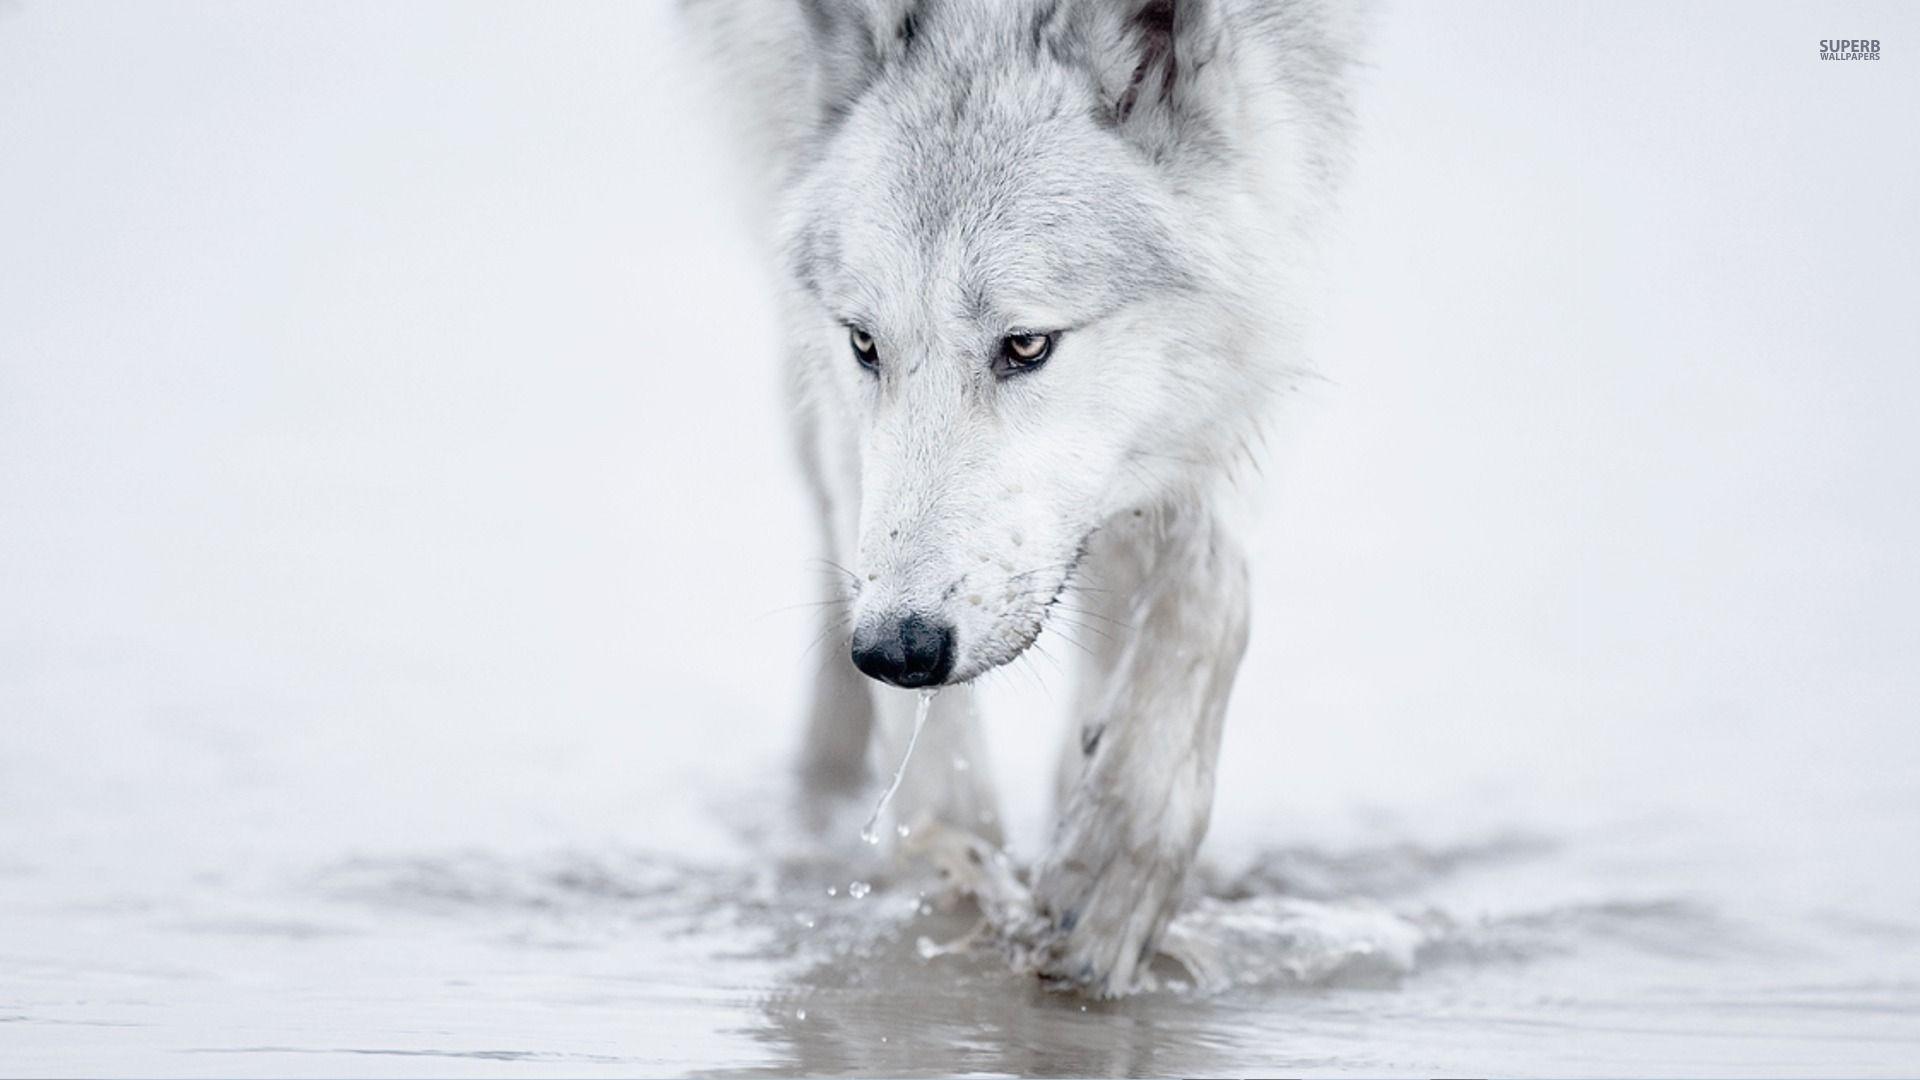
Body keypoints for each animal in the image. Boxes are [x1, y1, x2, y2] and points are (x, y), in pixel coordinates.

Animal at [681, 0, 1361, 996]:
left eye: (1027, 345)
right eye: (864, 343)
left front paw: (1112, 865)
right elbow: (940, 773)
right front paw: (959, 892)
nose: (896, 648)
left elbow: (1208, 587)